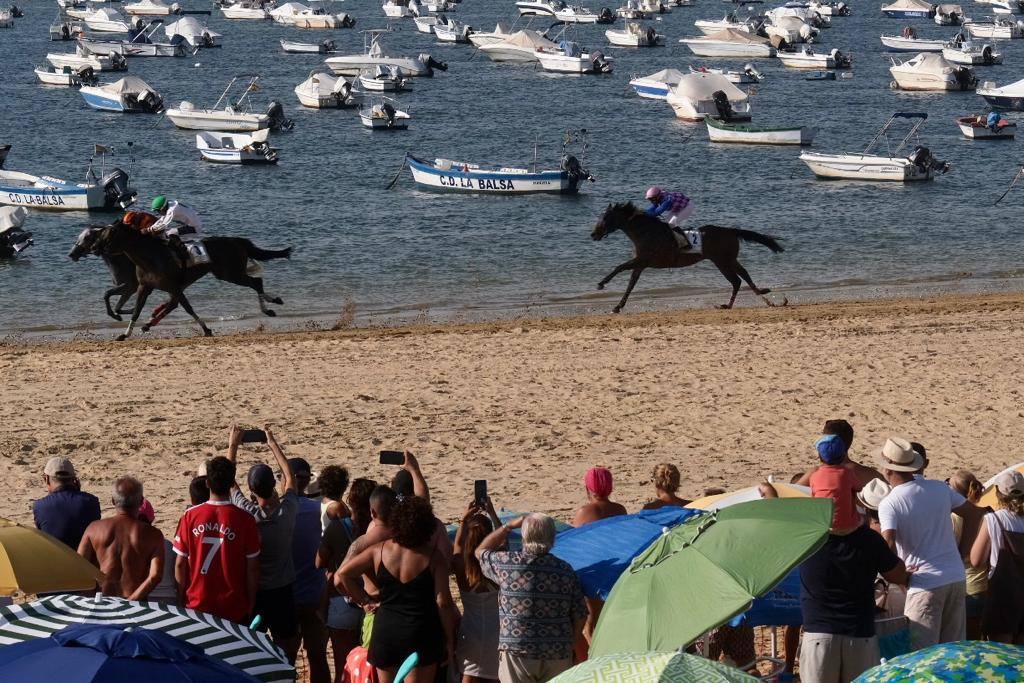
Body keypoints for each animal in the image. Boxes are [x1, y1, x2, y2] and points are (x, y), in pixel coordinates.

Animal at [593, 200, 782, 313]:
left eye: (606, 218)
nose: (593, 235)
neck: (646, 232)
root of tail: (731, 231)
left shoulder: (643, 259)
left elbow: (620, 267)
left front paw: (601, 283)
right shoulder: (640, 264)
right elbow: (631, 285)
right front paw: (618, 306)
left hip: (722, 261)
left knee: (737, 280)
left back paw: (733, 303)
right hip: (728, 260)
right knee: (742, 276)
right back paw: (758, 296)